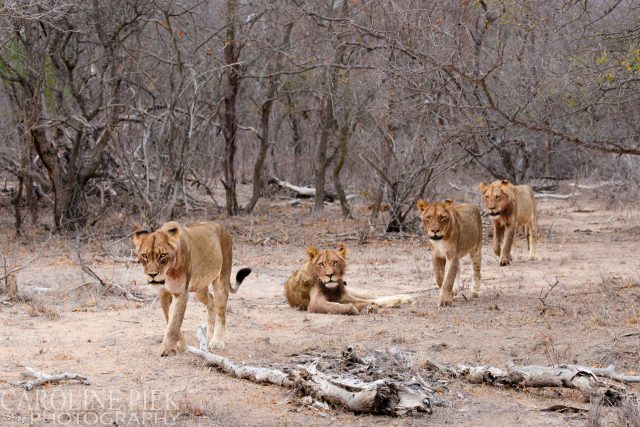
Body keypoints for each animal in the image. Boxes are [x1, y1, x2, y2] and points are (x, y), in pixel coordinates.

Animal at [132, 222, 250, 356]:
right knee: (211, 300)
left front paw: (168, 350)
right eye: (144, 255)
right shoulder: (163, 295)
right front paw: (181, 344)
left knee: (221, 310)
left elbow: (174, 323)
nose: (152, 275)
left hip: (221, 279)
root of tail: (221, 226)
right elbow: (170, 319)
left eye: (162, 255)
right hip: (199, 289)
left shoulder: (180, 293)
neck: (168, 273)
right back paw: (208, 335)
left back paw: (217, 341)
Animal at [284, 246, 416, 316]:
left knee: (372, 297)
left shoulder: (343, 295)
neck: (331, 289)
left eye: (335, 262)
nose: (330, 275)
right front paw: (352, 308)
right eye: (321, 264)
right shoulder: (314, 303)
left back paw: (402, 299)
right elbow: (333, 306)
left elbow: (366, 301)